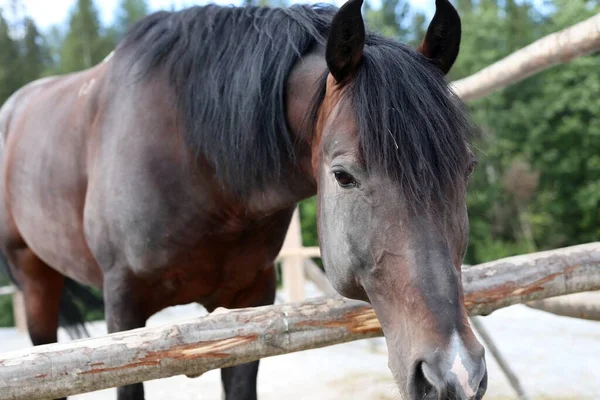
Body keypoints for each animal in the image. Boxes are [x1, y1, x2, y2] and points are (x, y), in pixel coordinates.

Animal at [0, 0, 488, 398]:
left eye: (466, 169)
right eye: (343, 176)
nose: (456, 374)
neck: (198, 162)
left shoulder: (249, 303)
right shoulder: (122, 310)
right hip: (34, 280)